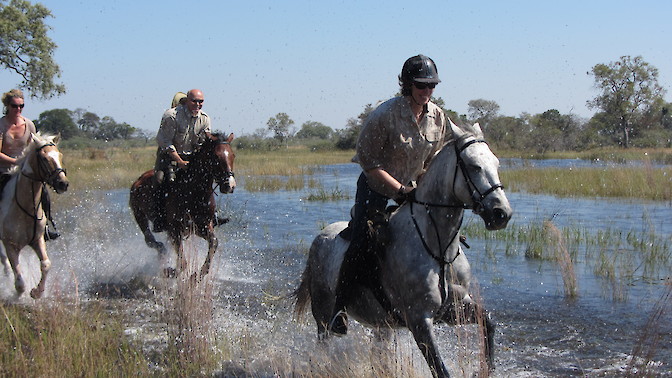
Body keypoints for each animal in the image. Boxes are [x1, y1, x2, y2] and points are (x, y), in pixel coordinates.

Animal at [129, 132, 236, 278]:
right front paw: (170, 271)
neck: (194, 192)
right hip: (139, 215)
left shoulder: (201, 226)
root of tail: (138, 181)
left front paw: (198, 274)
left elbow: (214, 242)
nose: (229, 185)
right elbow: (182, 263)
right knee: (150, 240)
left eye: (233, 156)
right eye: (216, 156)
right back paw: (162, 254)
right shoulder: (175, 229)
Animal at [296, 122, 512, 376]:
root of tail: (320, 237)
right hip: (323, 313)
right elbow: (440, 369)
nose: (501, 214)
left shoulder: (454, 308)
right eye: (473, 166)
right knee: (324, 342)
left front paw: (485, 369)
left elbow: (488, 323)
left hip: (383, 323)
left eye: (496, 164)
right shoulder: (419, 321)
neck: (438, 249)